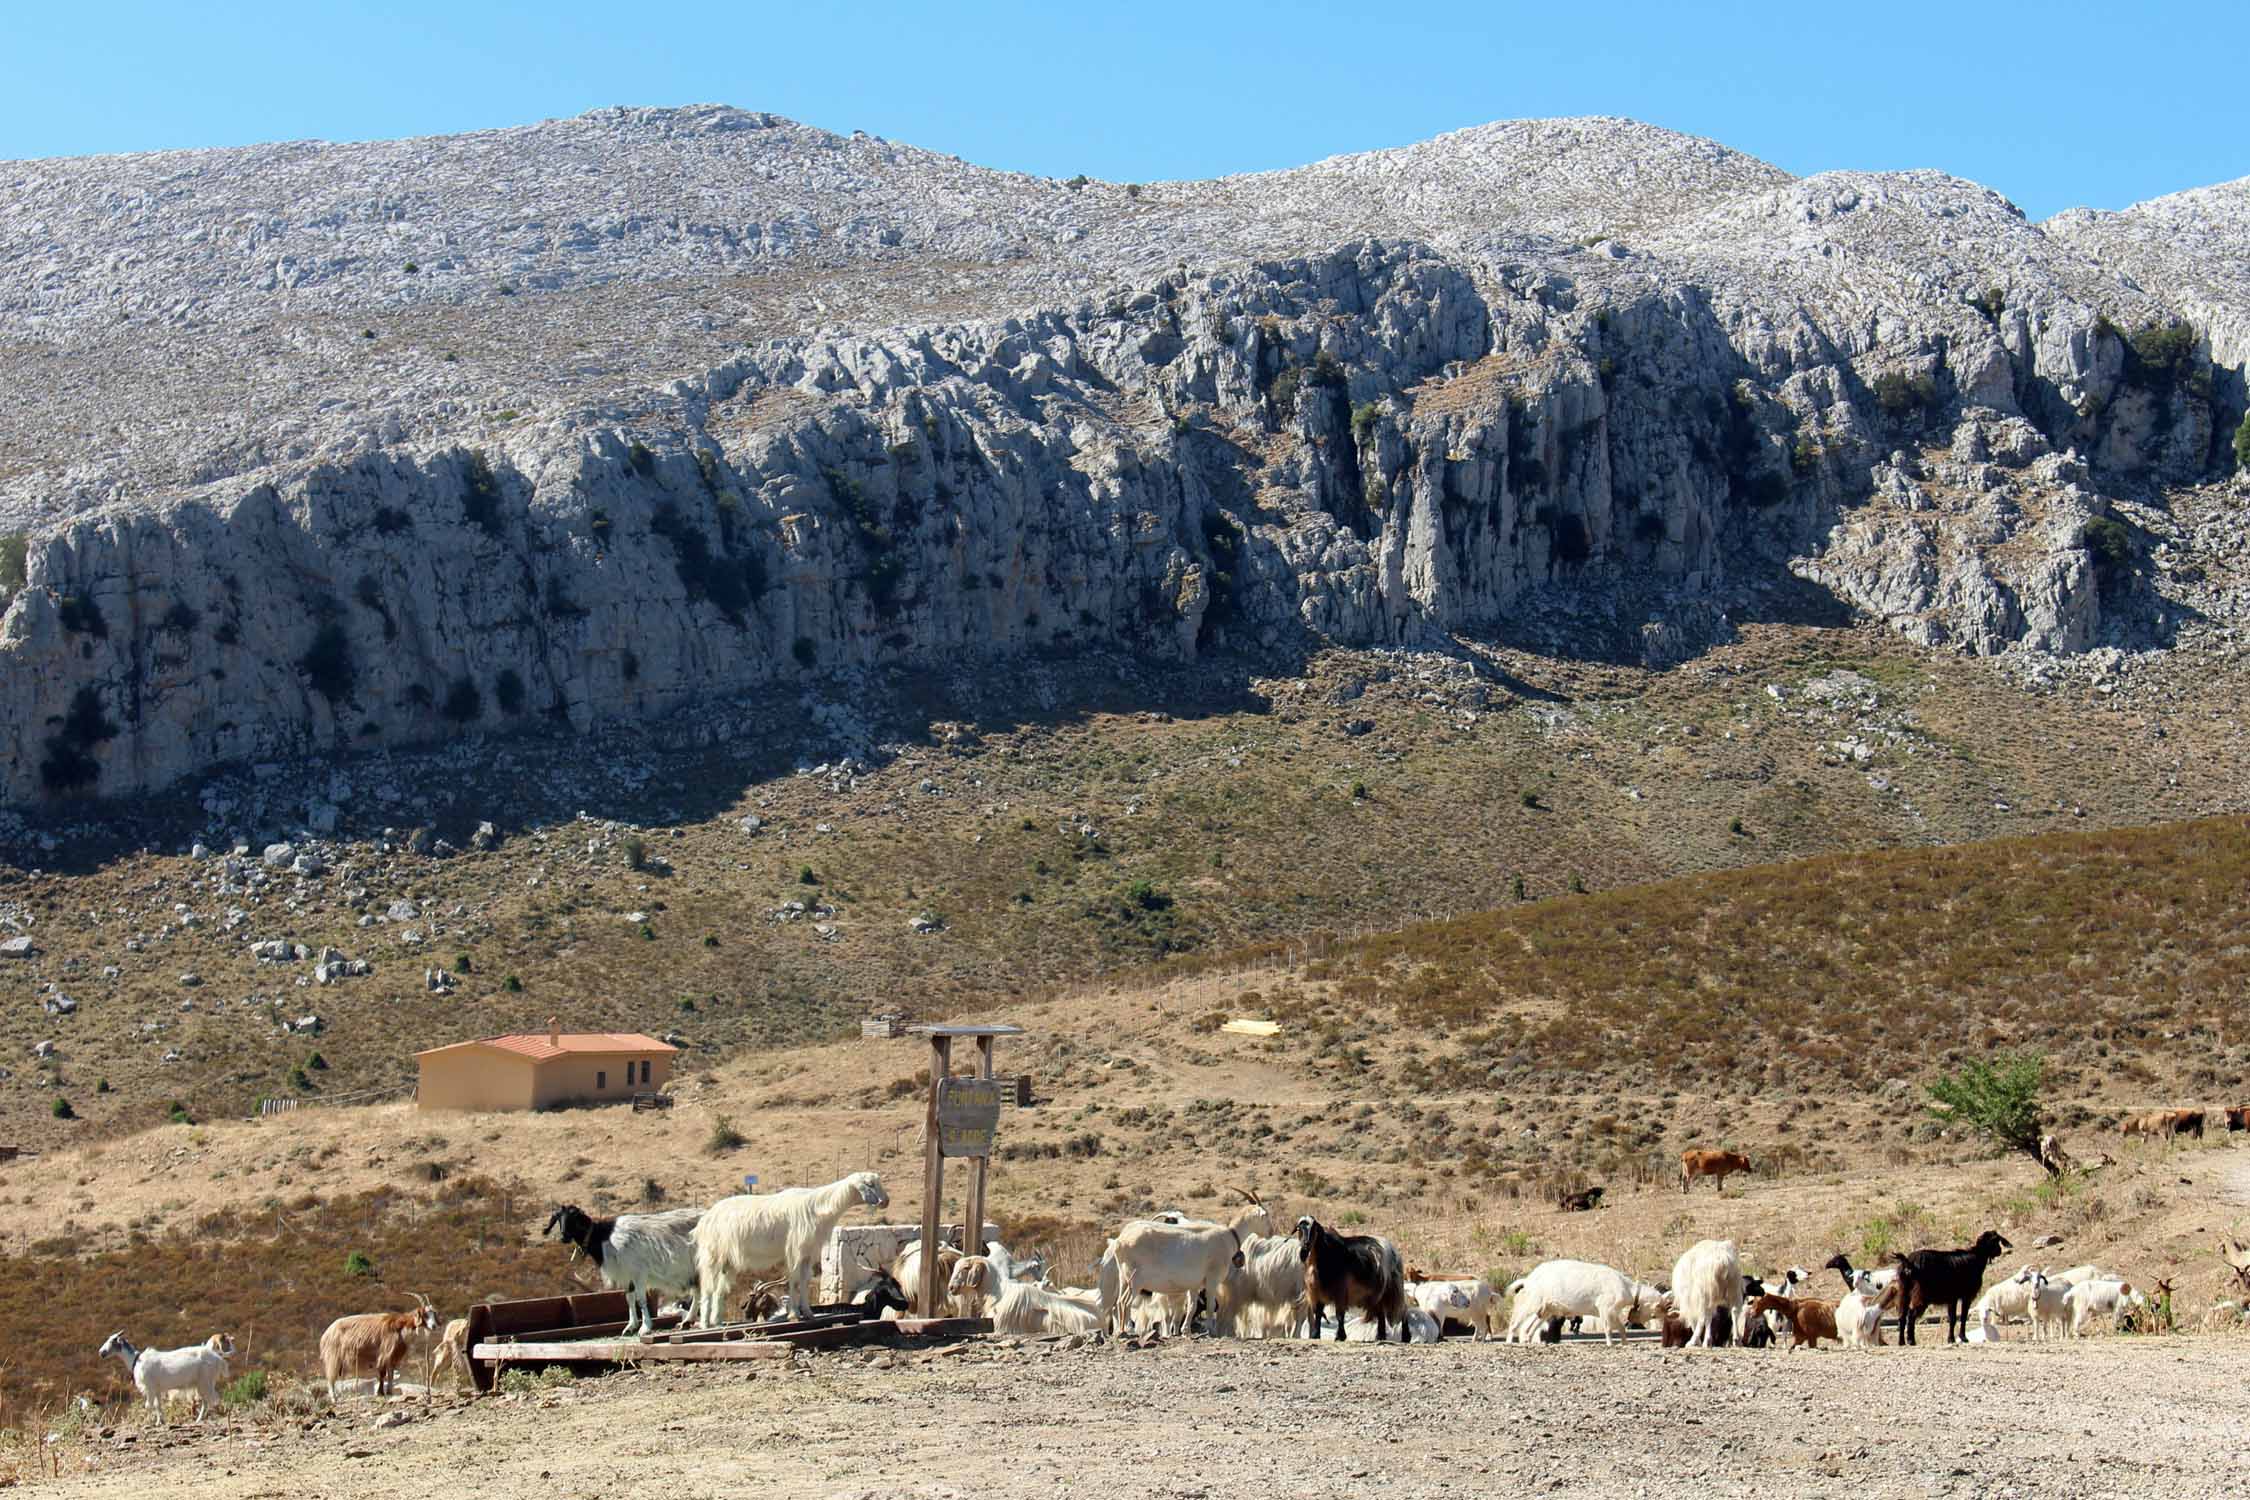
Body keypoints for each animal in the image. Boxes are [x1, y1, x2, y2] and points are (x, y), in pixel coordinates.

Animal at [97, 1331, 235, 1430]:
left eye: (112, 1341)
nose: (101, 1352)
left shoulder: (150, 1388)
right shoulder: (157, 1389)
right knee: (206, 1401)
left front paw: (148, 1422)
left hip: (206, 1381)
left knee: (213, 1399)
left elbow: (148, 1406)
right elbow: (158, 1405)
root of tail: (218, 1358)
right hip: (202, 1383)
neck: (136, 1361)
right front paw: (159, 1422)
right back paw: (199, 1419)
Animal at [542, 1205, 702, 1340]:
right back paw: (688, 1321)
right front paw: (630, 1327)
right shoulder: (626, 1275)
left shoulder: (638, 1272)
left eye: (574, 1217)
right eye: (558, 1218)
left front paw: (645, 1328)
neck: (604, 1237)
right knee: (698, 1292)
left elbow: (641, 1299)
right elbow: (629, 1299)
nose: (564, 1237)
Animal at [693, 1169, 886, 1322]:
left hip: (727, 1262)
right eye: (869, 1184)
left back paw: (716, 1321)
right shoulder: (795, 1252)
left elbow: (804, 1281)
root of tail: (705, 1219)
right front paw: (794, 1314)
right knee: (707, 1288)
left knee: (718, 1290)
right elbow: (793, 1280)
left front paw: (807, 1313)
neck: (817, 1207)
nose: (885, 1201)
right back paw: (705, 1324)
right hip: (712, 1256)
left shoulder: (808, 1253)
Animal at [1503, 1259, 1665, 1349]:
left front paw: (1625, 1343)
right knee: (1515, 1323)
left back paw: (1528, 1342)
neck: (1627, 1288)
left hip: (1546, 1309)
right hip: (1530, 1302)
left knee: (1529, 1328)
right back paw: (1510, 1342)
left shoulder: (1612, 1311)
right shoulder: (1605, 1308)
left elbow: (1620, 1327)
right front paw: (1610, 1344)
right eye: (1654, 1313)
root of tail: (1529, 1279)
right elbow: (1608, 1328)